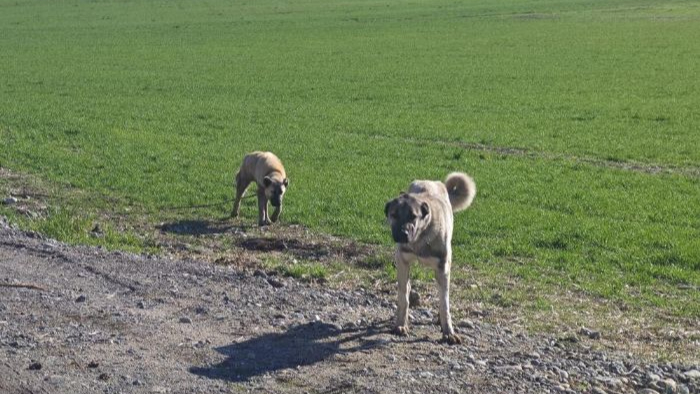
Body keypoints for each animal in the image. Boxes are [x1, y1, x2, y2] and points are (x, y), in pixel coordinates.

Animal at [382, 171, 476, 344]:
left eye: (413, 216)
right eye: (394, 214)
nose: (403, 234)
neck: (420, 237)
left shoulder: (443, 268)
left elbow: (444, 303)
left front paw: (448, 332)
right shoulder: (402, 261)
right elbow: (403, 296)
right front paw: (401, 324)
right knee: (406, 287)